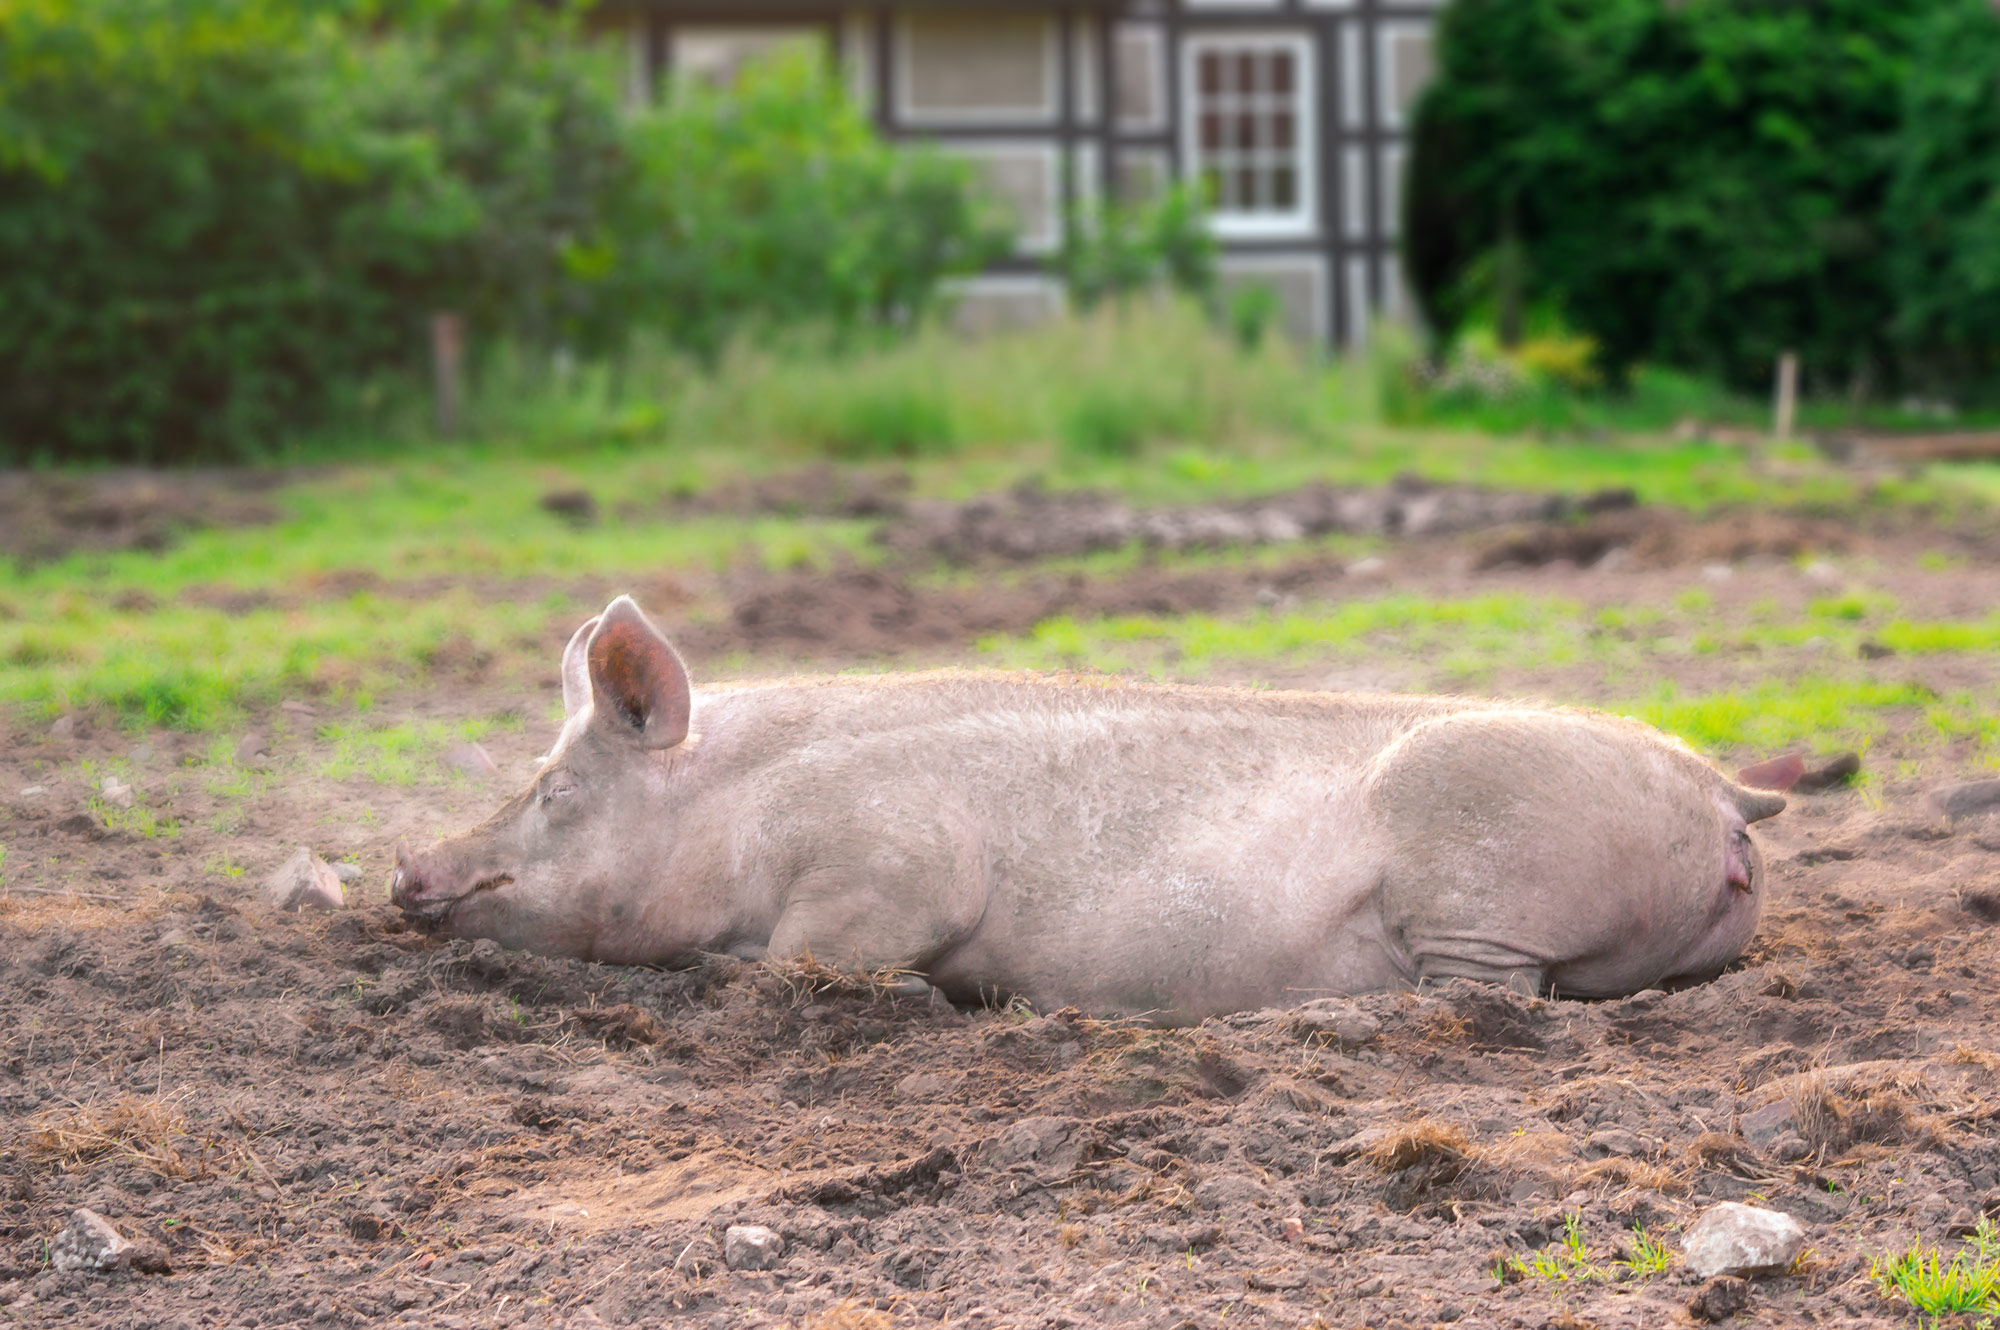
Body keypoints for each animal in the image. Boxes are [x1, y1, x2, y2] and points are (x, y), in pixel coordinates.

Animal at [390, 596, 1784, 1020]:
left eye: (557, 790)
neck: (743, 812)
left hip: (1475, 875)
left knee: (1493, 995)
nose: (405, 869)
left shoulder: (888, 865)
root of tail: (1718, 787)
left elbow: (806, 958)